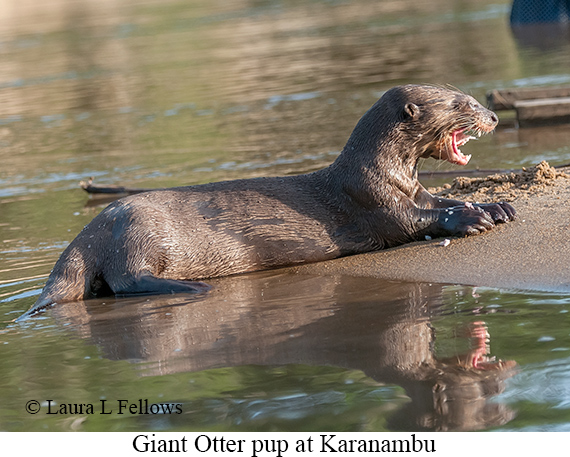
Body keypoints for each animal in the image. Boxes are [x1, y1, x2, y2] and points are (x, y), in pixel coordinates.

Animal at [20, 84, 512, 318]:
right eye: (462, 103)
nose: (492, 115)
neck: (382, 173)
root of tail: (85, 236)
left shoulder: (416, 189)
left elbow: (441, 199)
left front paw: (494, 206)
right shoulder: (378, 204)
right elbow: (418, 220)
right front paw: (470, 219)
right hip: (141, 232)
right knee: (127, 279)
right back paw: (189, 287)